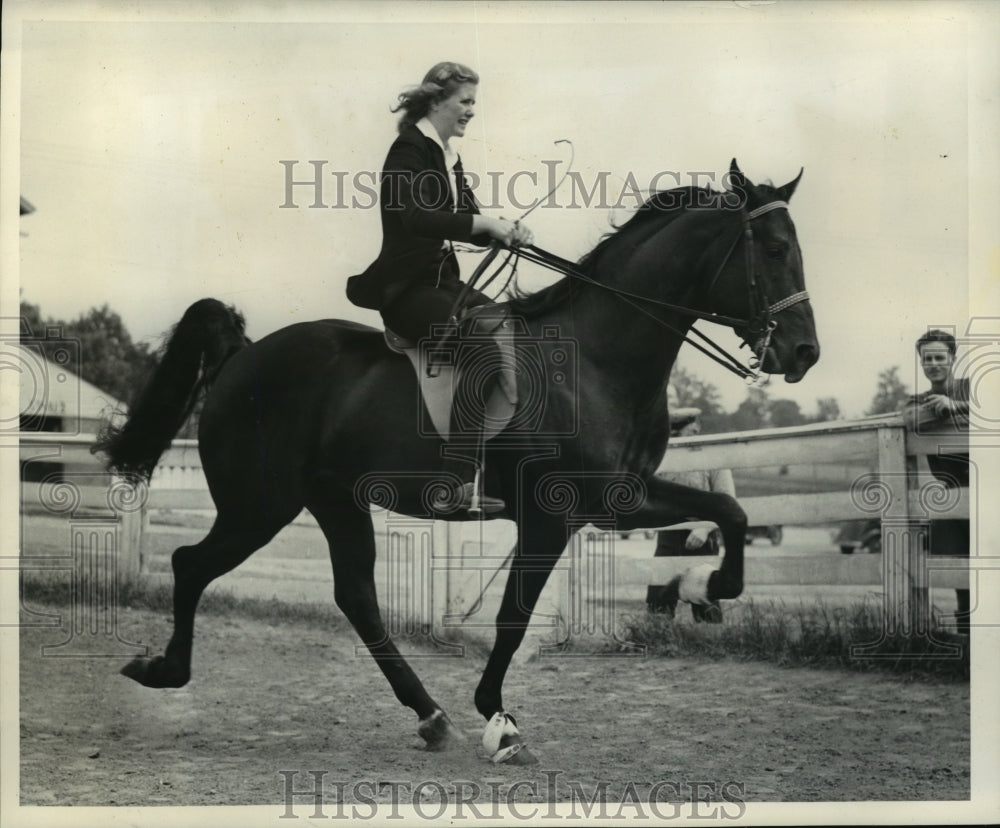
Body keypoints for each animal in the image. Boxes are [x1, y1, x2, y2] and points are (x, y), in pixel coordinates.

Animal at [94, 160, 816, 764]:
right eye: (776, 251)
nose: (804, 353)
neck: (597, 359)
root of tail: (244, 355)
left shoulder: (620, 499)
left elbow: (729, 508)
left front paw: (717, 585)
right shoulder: (552, 516)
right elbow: (513, 618)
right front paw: (499, 720)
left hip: (332, 501)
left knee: (355, 597)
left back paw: (430, 716)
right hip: (259, 504)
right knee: (192, 564)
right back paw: (164, 670)